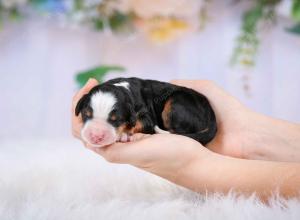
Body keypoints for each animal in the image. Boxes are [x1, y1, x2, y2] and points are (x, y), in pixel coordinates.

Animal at [74, 77, 216, 148]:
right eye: (86, 114)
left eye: (116, 120)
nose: (95, 136)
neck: (124, 89)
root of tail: (211, 112)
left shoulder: (146, 116)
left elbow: (141, 124)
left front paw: (124, 134)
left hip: (176, 102)